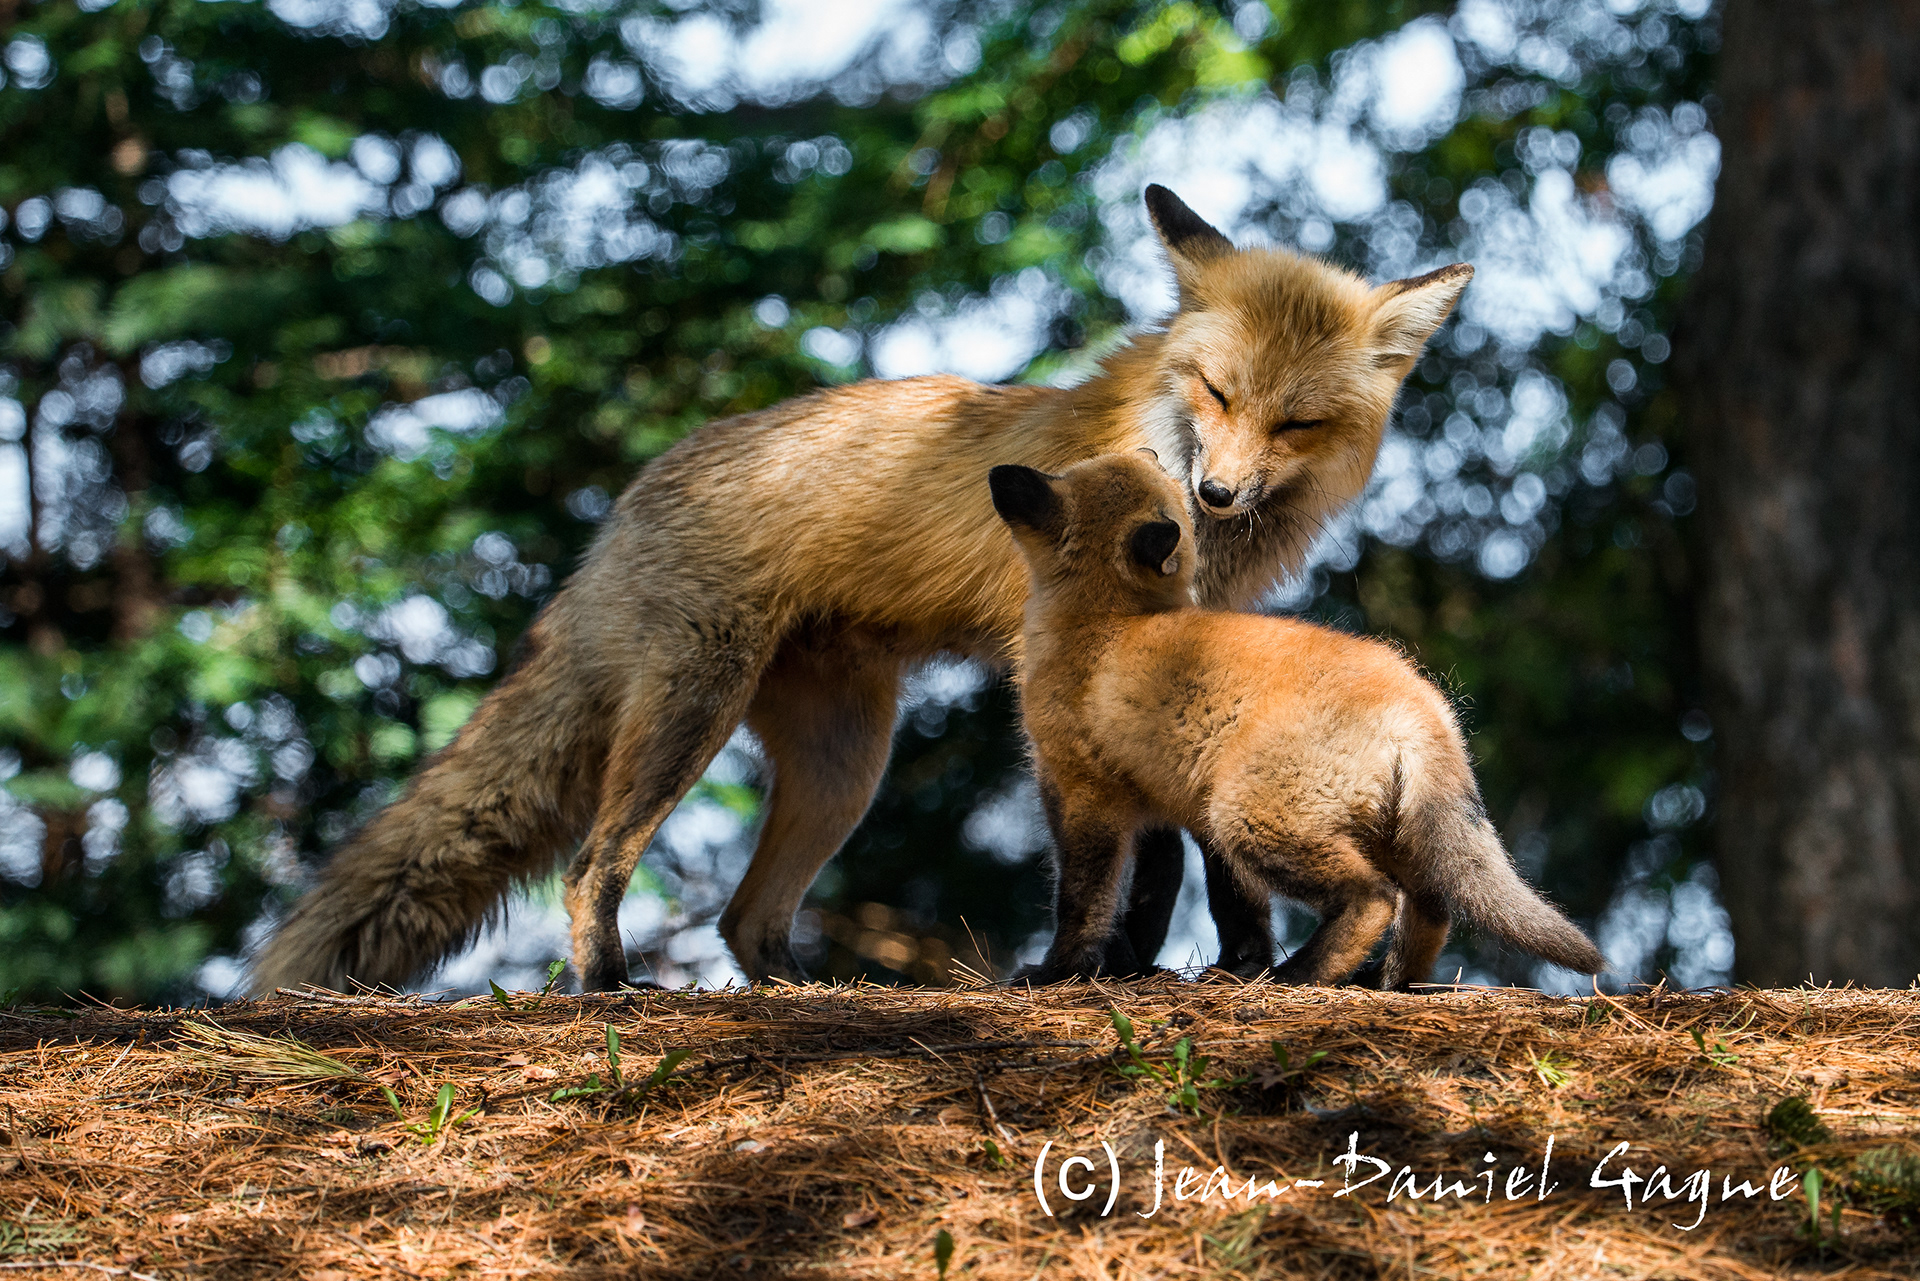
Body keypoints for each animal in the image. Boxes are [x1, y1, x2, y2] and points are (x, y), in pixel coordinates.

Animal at [249, 186, 1474, 995]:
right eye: (1215, 392)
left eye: (1296, 421)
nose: (1217, 492)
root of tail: (624, 506)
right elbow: (1157, 855)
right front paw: (1116, 967)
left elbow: (1194, 854)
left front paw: (1214, 965)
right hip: (691, 717)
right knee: (597, 866)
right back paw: (606, 988)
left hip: (845, 765)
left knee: (744, 920)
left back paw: (813, 994)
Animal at [988, 451, 1606, 988]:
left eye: (1059, 478)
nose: (999, 474)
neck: (1109, 622)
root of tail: (1418, 702)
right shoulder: (1159, 808)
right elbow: (1168, 905)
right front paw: (1143, 967)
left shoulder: (1082, 793)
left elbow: (1083, 904)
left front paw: (1056, 972)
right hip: (1384, 831)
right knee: (1430, 906)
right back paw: (1385, 982)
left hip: (1249, 817)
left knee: (1375, 898)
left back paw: (1300, 976)